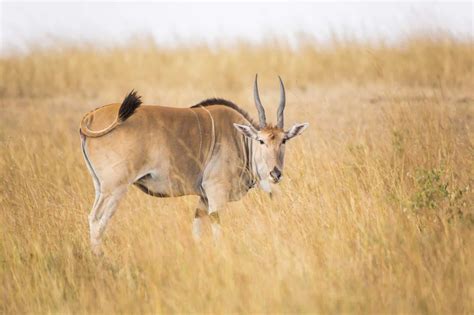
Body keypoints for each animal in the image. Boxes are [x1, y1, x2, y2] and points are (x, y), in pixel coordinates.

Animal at [79, 76, 310, 256]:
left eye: (283, 140)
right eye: (261, 141)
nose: (275, 173)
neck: (241, 140)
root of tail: (91, 116)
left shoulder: (203, 198)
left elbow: (197, 230)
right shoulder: (216, 193)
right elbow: (216, 229)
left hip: (100, 187)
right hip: (115, 188)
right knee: (96, 219)